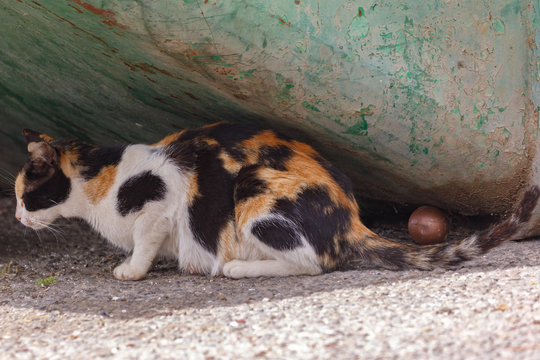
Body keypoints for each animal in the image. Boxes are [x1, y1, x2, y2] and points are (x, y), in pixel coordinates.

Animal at [12, 122, 540, 280]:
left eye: (24, 195)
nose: (15, 216)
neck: (101, 181)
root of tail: (352, 221)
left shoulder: (159, 200)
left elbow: (144, 242)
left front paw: (130, 270)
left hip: (255, 190)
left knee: (311, 263)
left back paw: (236, 268)